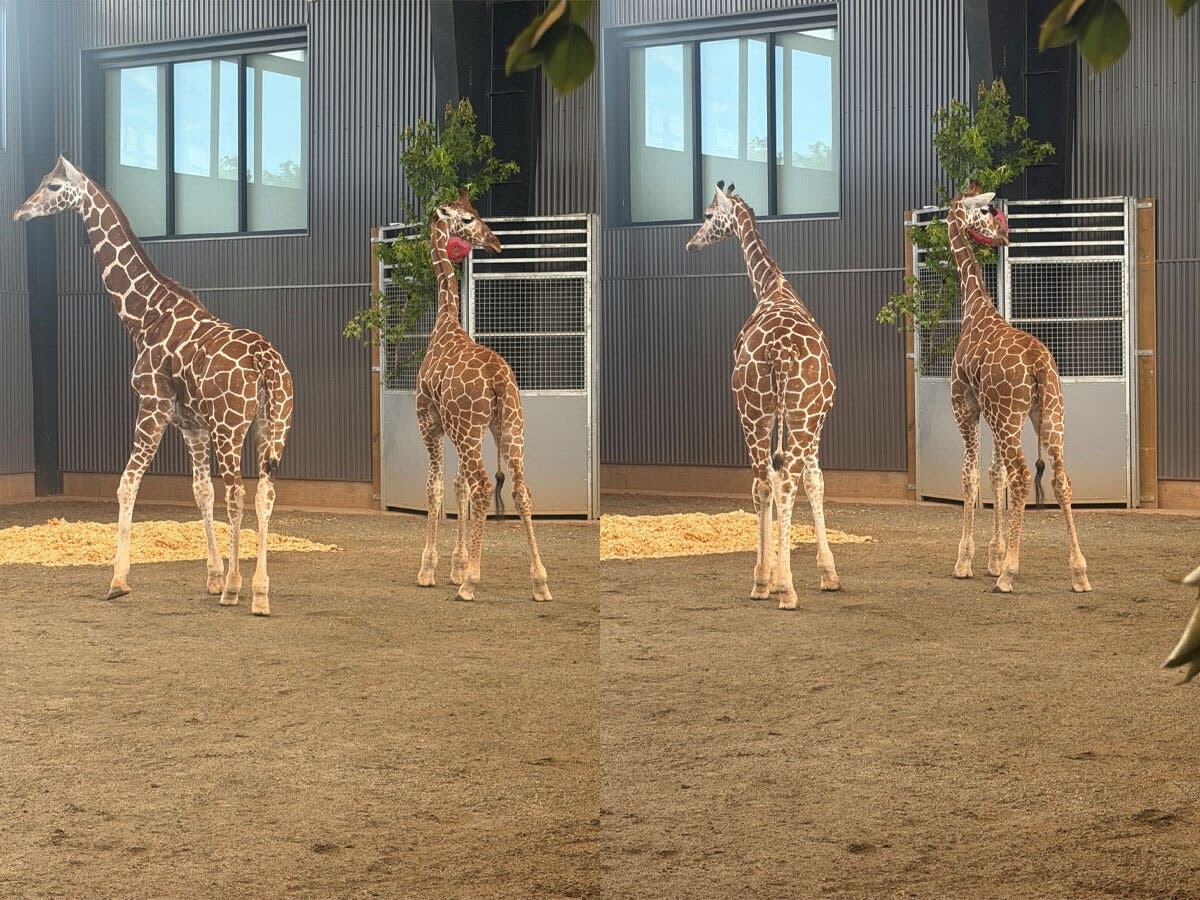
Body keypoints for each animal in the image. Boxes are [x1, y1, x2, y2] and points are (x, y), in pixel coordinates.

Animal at [13, 156, 294, 615]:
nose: (20, 212)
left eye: (53, 186)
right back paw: (259, 592)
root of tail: (266, 363)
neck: (145, 316)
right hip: (273, 424)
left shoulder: (152, 405)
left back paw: (238, 589)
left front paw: (118, 580)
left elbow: (128, 483)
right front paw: (213, 576)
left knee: (238, 492)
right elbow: (201, 492)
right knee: (264, 493)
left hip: (231, 427)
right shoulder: (191, 424)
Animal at [414, 190, 552, 603]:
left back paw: (471, 584)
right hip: (509, 427)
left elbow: (437, 487)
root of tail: (498, 380)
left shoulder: (430, 422)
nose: (495, 241)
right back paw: (540, 581)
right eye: (468, 218)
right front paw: (457, 565)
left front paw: (432, 569)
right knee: (520, 489)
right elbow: (457, 485)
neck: (445, 323)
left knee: (484, 485)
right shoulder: (453, 429)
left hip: (470, 429)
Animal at [686, 182, 840, 609]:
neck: (773, 287)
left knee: (766, 482)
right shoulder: (811, 418)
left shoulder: (797, 419)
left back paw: (767, 582)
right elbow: (814, 481)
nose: (691, 243)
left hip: (757, 412)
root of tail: (778, 352)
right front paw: (826, 573)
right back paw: (780, 585)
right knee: (778, 481)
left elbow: (807, 480)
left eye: (708, 214)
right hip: (782, 413)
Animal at [946, 182, 1090, 594]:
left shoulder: (966, 407)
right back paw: (1079, 572)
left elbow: (972, 476)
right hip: (1049, 414)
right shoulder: (992, 413)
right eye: (985, 211)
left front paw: (968, 561)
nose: (1002, 235)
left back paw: (1009, 572)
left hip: (1012, 418)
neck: (975, 307)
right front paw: (992, 556)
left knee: (1025, 476)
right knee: (1060, 478)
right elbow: (995, 474)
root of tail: (1039, 364)